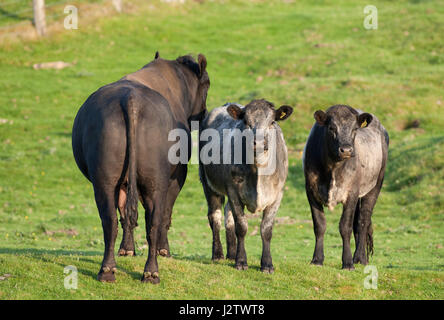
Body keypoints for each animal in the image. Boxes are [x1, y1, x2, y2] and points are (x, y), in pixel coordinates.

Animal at [72, 52, 211, 282]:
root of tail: (131, 99)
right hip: (155, 181)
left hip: (105, 179)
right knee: (154, 220)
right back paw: (150, 271)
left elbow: (125, 211)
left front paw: (127, 249)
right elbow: (166, 214)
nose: (203, 113)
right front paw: (164, 251)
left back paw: (109, 270)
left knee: (111, 219)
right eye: (207, 84)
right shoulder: (178, 175)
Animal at [199, 98, 294, 272]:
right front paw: (241, 261)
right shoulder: (233, 192)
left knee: (227, 216)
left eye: (272, 122)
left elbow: (266, 229)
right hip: (207, 183)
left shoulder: (277, 195)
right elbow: (241, 227)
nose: (259, 143)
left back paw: (231, 253)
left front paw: (267, 264)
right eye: (246, 122)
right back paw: (218, 254)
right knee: (215, 217)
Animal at [304, 105, 386, 270]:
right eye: (331, 128)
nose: (347, 150)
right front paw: (317, 259)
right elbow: (319, 225)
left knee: (363, 221)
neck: (332, 167)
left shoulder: (351, 193)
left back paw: (359, 258)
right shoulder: (311, 191)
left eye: (355, 129)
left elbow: (345, 227)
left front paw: (347, 262)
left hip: (374, 187)